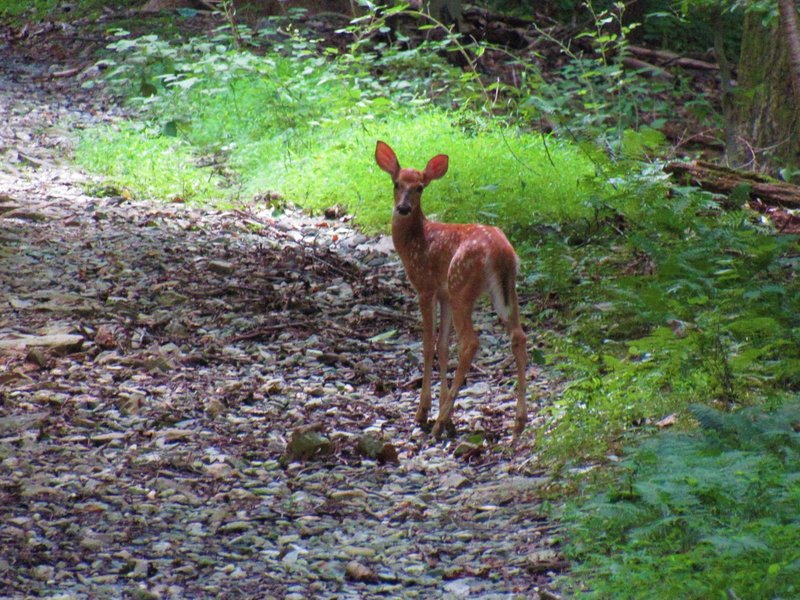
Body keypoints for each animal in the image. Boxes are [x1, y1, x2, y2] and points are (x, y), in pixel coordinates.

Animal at [376, 141, 528, 440]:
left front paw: (424, 413)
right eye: (396, 183)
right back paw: (519, 419)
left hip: (462, 286)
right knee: (519, 335)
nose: (403, 208)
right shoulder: (443, 294)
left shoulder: (425, 287)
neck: (416, 240)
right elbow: (443, 345)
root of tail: (501, 252)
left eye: (420, 187)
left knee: (470, 342)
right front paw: (447, 418)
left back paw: (438, 422)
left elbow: (427, 345)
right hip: (506, 290)